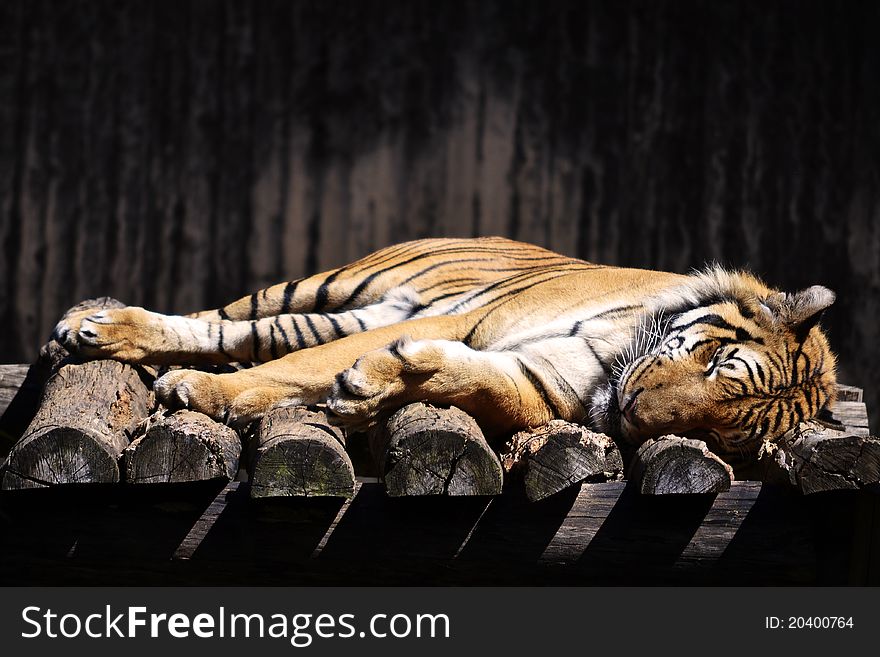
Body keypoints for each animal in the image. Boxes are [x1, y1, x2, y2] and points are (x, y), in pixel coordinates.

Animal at [51, 234, 836, 456]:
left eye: (721, 433)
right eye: (714, 361)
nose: (634, 415)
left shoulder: (534, 381)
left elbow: (486, 387)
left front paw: (378, 385)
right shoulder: (454, 322)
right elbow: (295, 369)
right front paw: (205, 394)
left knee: (244, 336)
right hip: (328, 288)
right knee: (226, 323)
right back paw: (95, 326)